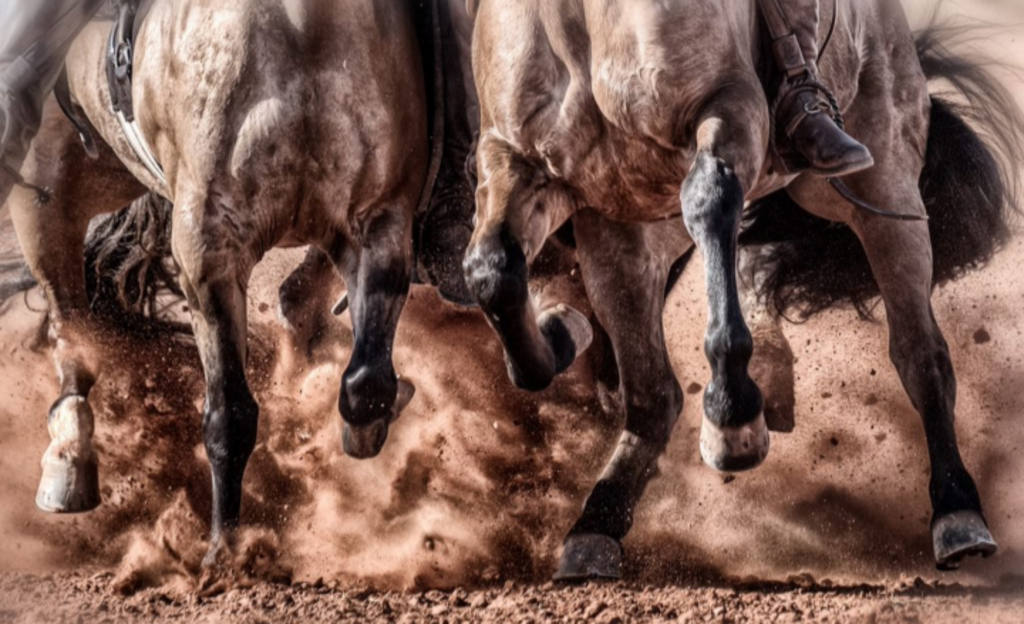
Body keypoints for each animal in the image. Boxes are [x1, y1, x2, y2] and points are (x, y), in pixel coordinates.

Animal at [4, 0, 436, 565]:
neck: (304, 29)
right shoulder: (209, 257)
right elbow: (229, 414)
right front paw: (223, 552)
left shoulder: (379, 227)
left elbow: (367, 383)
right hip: (47, 194)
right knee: (69, 324)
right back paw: (69, 464)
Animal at [464, 2, 1024, 581]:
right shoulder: (517, 159)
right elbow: (493, 272)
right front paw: (559, 334)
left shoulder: (727, 108)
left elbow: (710, 199)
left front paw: (732, 415)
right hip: (623, 242)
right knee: (653, 395)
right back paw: (595, 525)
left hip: (882, 191)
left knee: (921, 353)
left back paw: (958, 513)